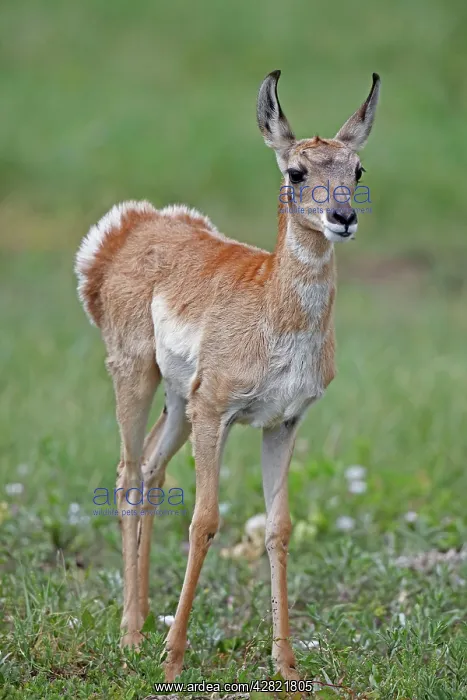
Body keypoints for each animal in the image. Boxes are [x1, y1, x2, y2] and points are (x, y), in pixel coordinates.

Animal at [75, 70, 380, 681]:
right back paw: (130, 634)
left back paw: (144, 617)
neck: (272, 305)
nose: (343, 218)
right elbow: (205, 520)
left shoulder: (281, 423)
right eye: (296, 170)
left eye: (356, 169)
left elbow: (278, 527)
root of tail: (130, 229)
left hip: (178, 406)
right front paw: (173, 661)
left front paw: (287, 664)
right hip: (138, 379)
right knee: (126, 475)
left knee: (152, 471)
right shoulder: (217, 412)